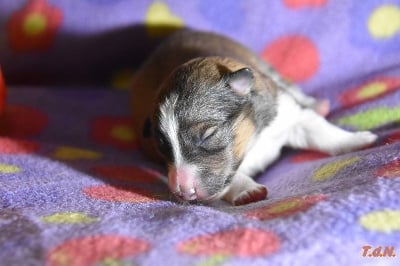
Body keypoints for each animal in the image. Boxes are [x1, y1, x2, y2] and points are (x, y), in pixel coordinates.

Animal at [132, 30, 378, 206]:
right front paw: (247, 191)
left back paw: (319, 105)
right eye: (161, 145)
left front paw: (358, 140)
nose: (182, 191)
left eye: (209, 134)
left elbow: (322, 133)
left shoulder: (287, 115)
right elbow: (231, 178)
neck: (254, 141)